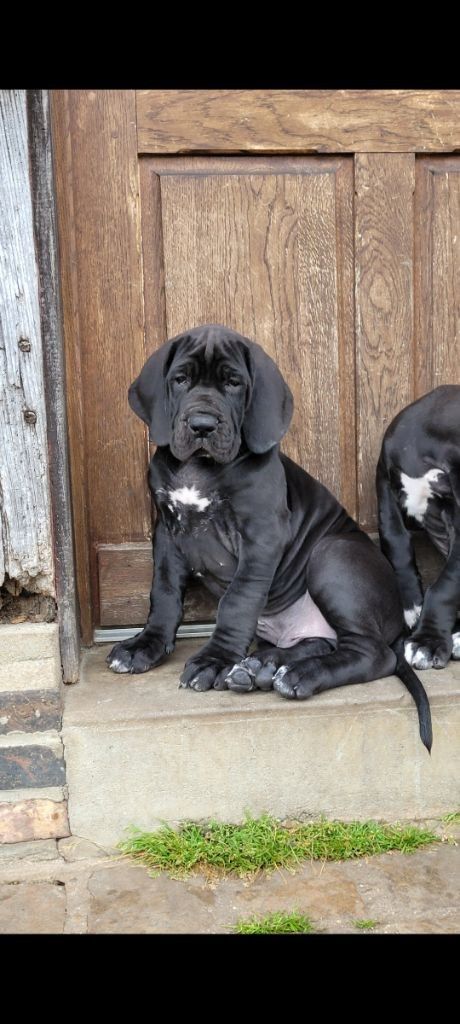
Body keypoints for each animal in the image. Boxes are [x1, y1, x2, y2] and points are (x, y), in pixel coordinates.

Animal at [106, 325, 432, 751]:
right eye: (180, 380)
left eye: (233, 383)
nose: (202, 424)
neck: (199, 468)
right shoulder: (166, 533)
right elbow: (162, 594)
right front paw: (146, 645)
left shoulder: (260, 535)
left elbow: (238, 600)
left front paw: (215, 659)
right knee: (322, 642)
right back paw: (262, 666)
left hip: (332, 554)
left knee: (373, 654)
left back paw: (298, 675)